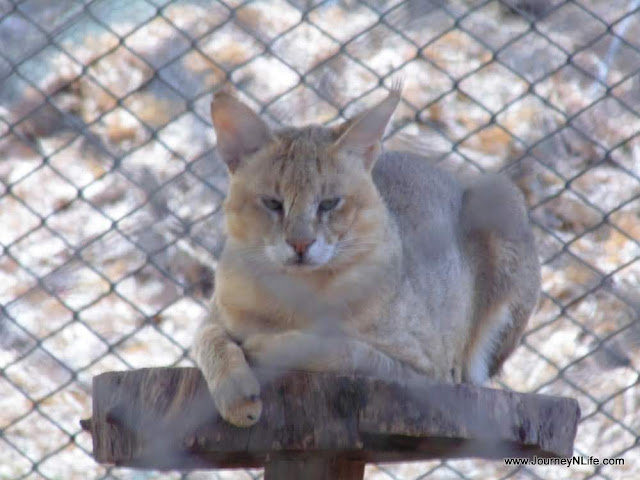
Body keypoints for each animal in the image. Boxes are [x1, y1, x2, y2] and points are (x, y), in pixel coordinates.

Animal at [194, 86, 540, 428]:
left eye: (329, 203)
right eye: (272, 203)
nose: (301, 244)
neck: (297, 294)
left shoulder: (427, 371)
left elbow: (346, 349)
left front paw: (267, 348)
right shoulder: (214, 315)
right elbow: (208, 339)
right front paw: (236, 394)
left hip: (499, 193)